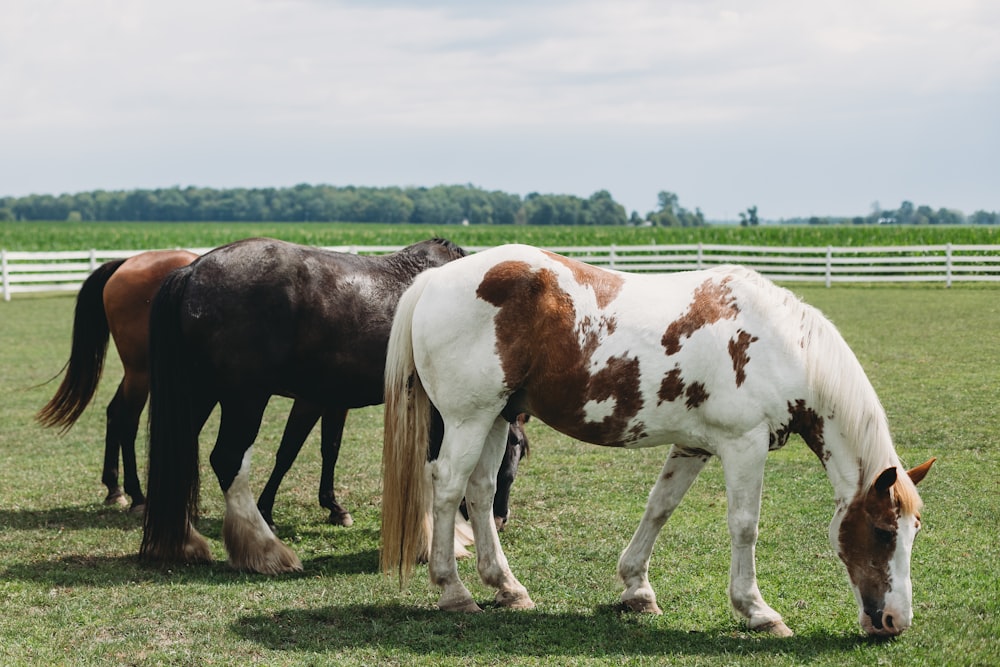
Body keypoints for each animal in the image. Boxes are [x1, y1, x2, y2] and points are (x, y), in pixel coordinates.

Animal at [35, 248, 528, 536]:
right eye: (511, 454)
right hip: (217, 392)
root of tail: (188, 270)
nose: (499, 517)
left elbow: (317, 448)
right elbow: (296, 450)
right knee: (149, 427)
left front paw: (324, 506)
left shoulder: (328, 399)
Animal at [142, 239, 532, 576]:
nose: (501, 518)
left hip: (199, 394)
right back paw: (266, 551)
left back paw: (183, 544)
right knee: (227, 460)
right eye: (514, 447)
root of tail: (192, 270)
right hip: (245, 398)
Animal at [378, 244, 932, 636]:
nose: (894, 623)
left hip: (497, 417)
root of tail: (433, 280)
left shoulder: (694, 446)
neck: (780, 344)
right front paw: (757, 610)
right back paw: (453, 591)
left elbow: (659, 508)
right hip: (468, 418)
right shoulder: (744, 445)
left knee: (479, 491)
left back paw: (507, 588)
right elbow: (744, 526)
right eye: (884, 532)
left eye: (913, 532)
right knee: (448, 487)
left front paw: (636, 589)